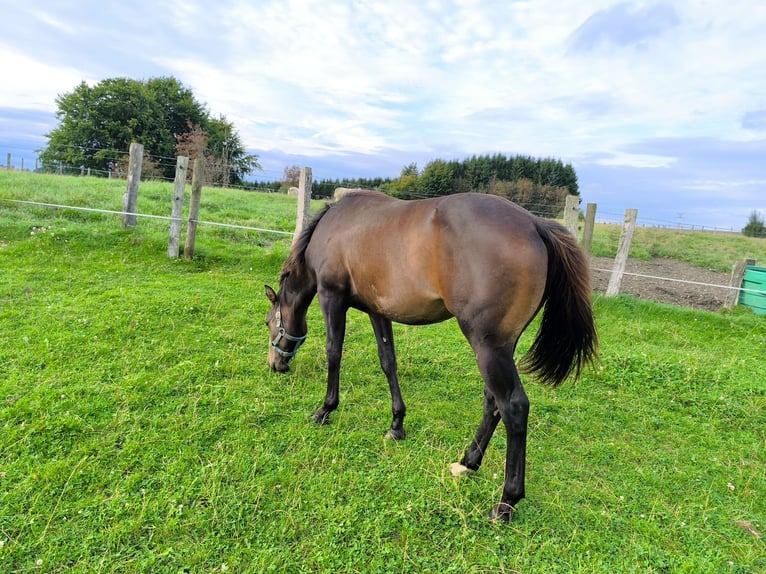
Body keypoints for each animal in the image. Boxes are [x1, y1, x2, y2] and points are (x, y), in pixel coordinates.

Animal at [266, 191, 600, 524]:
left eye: (269, 321)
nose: (275, 364)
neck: (334, 226)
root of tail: (535, 224)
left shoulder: (331, 297)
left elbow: (334, 352)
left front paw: (325, 409)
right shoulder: (378, 310)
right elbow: (388, 361)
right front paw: (396, 424)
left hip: (487, 347)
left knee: (513, 407)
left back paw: (506, 501)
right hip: (500, 348)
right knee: (493, 401)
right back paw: (468, 462)